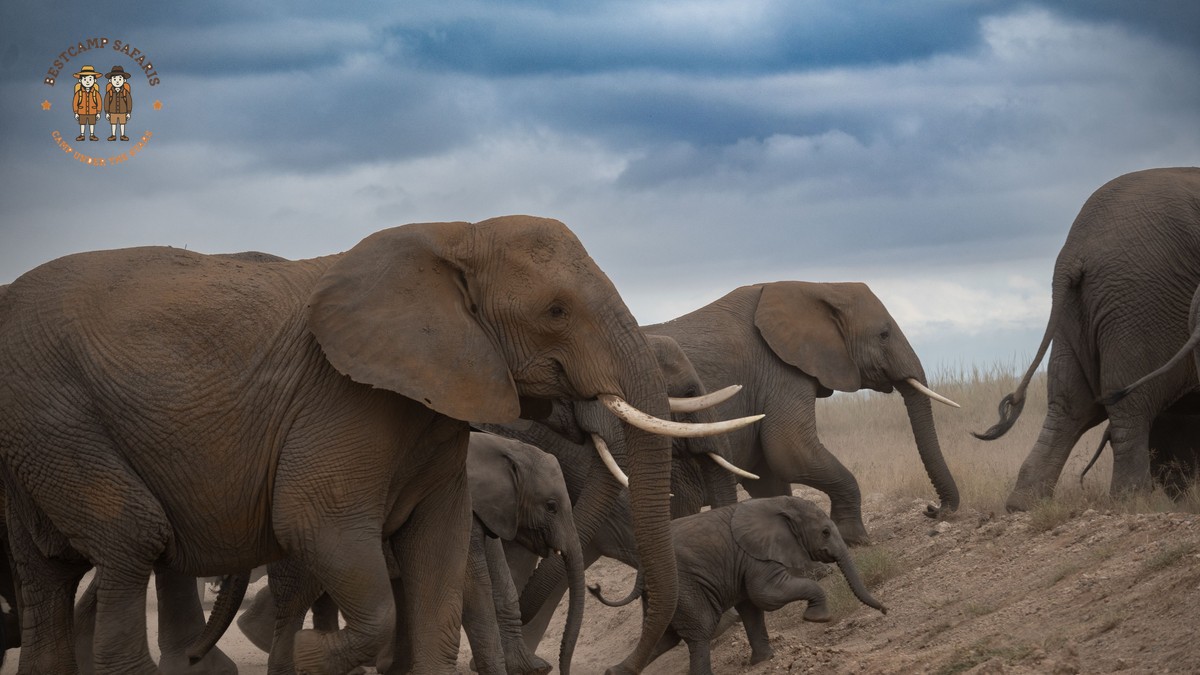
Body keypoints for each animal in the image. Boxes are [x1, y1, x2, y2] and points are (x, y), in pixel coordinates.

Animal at [0, 215, 756, 674]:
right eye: (555, 311)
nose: (610, 664)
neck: (455, 237)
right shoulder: (342, 401)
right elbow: (319, 527)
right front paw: (309, 654)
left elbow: (437, 557)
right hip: (57, 418)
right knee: (133, 540)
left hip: (31, 442)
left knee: (48, 579)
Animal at [588, 496, 887, 675]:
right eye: (825, 532)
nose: (885, 610)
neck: (781, 503)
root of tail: (641, 569)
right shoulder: (755, 555)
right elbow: (766, 596)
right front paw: (819, 618)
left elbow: (751, 607)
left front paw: (763, 661)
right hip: (685, 585)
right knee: (698, 630)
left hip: (662, 591)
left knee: (664, 635)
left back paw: (614, 673)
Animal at [643, 280, 962, 545]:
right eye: (883, 335)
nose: (932, 509)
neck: (818, 287)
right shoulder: (780, 371)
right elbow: (791, 452)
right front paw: (857, 540)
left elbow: (769, 476)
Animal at [976, 168, 1200, 511]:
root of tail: (1074, 252)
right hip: (1142, 302)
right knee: (1130, 405)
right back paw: (1131, 503)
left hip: (1074, 314)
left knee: (1068, 405)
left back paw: (1023, 505)